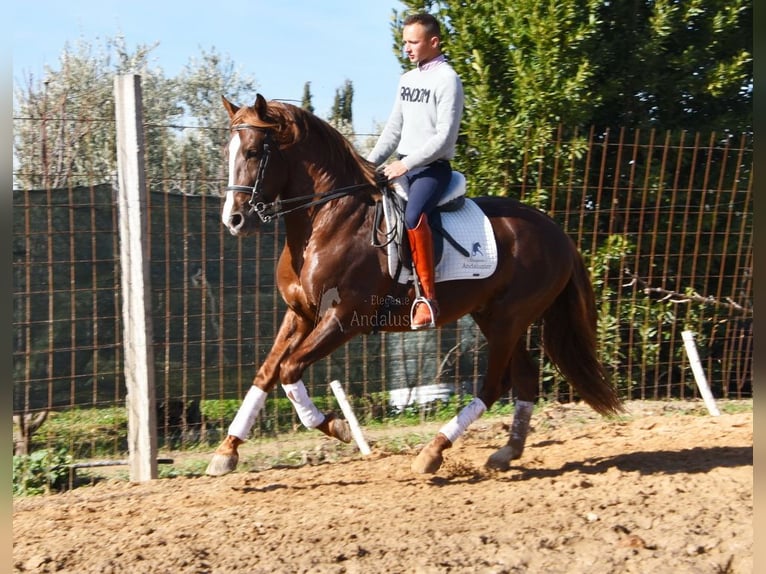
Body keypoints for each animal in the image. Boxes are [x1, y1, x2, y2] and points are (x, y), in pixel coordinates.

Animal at [206, 97, 624, 480]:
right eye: (228, 152)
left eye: (254, 152)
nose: (234, 220)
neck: (328, 220)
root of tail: (557, 233)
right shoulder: (300, 314)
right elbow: (267, 372)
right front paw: (227, 451)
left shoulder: (344, 318)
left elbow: (290, 368)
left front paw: (337, 427)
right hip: (495, 318)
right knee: (524, 378)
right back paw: (507, 452)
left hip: (508, 320)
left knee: (494, 385)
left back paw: (432, 452)